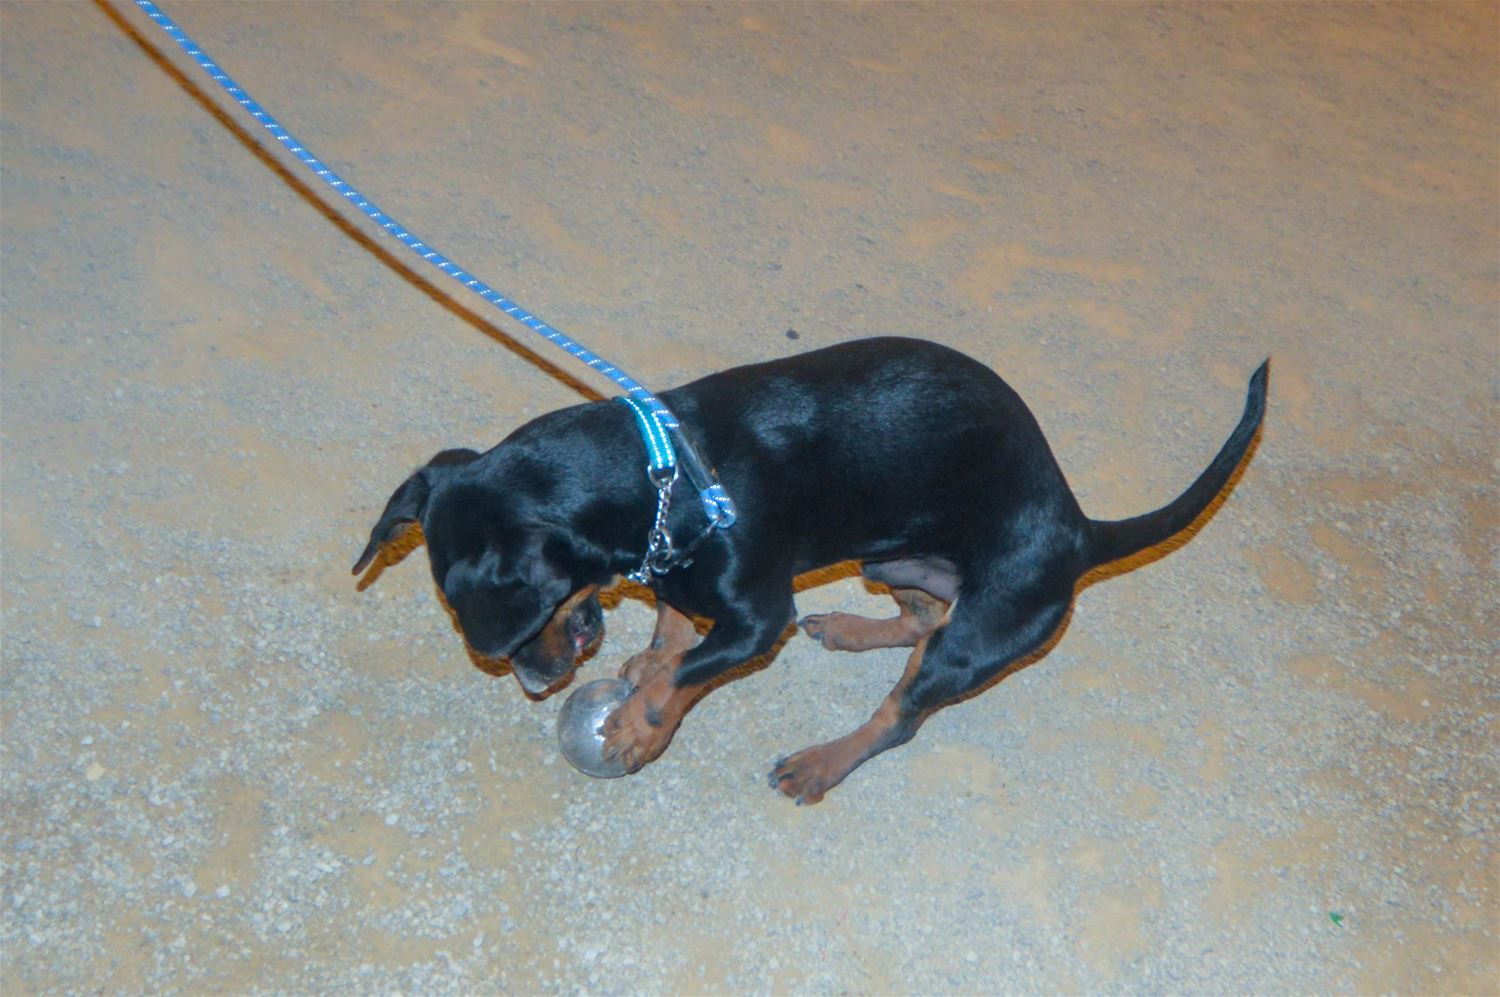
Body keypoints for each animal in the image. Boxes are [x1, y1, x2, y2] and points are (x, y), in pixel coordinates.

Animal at [355, 337, 1267, 804]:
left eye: (508, 631)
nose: (538, 686)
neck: (666, 475)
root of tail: (1077, 527)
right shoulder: (681, 577)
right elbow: (674, 628)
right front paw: (647, 663)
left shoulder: (760, 619)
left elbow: (687, 670)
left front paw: (643, 725)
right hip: (892, 554)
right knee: (920, 616)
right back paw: (852, 627)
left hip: (980, 630)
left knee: (901, 711)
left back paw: (822, 762)